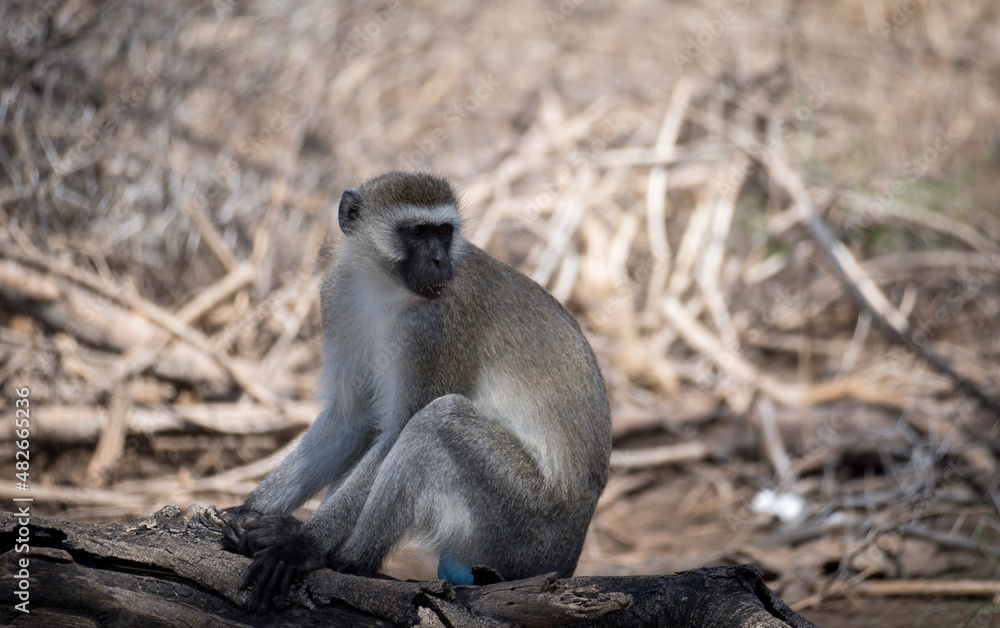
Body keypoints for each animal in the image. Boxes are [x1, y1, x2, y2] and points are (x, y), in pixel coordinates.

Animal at [222, 171, 612, 613]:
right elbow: (350, 420)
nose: (441, 261)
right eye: (417, 232)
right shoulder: (337, 297)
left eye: (443, 232)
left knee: (437, 423)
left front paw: (302, 546)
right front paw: (247, 512)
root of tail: (568, 558)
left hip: (525, 526)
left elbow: (396, 432)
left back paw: (346, 557)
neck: (383, 288)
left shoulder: (435, 324)